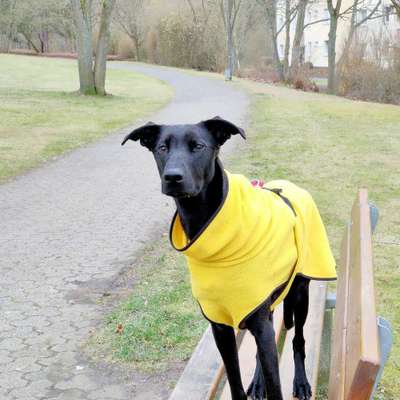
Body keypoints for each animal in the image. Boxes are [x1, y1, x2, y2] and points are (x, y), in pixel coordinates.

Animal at [122, 116, 312, 400]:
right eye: (162, 148)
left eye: (198, 146)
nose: (173, 177)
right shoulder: (221, 326)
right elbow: (234, 380)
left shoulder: (260, 322)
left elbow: (275, 383)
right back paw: (258, 383)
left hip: (300, 294)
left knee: (298, 339)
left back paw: (300, 381)